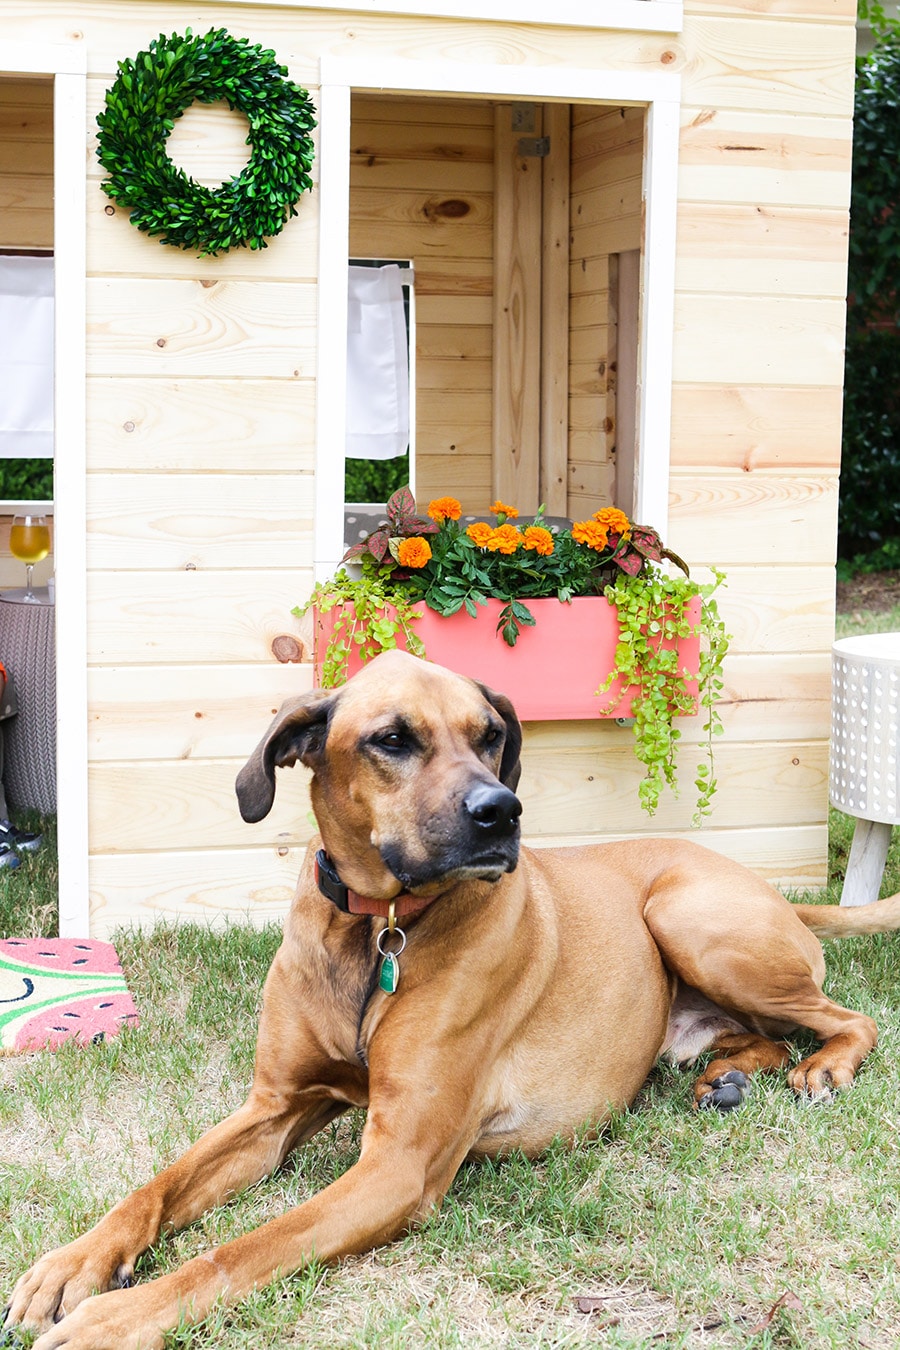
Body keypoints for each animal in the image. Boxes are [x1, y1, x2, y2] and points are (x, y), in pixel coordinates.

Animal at [5, 648, 900, 1344]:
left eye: (490, 735)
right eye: (392, 740)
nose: (501, 810)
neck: (378, 930)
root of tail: (770, 890)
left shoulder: (397, 1166)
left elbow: (239, 1250)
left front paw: (117, 1319)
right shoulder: (271, 1110)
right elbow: (153, 1186)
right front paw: (70, 1264)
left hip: (689, 915)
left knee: (849, 1016)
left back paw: (823, 1067)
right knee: (764, 1032)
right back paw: (727, 1076)